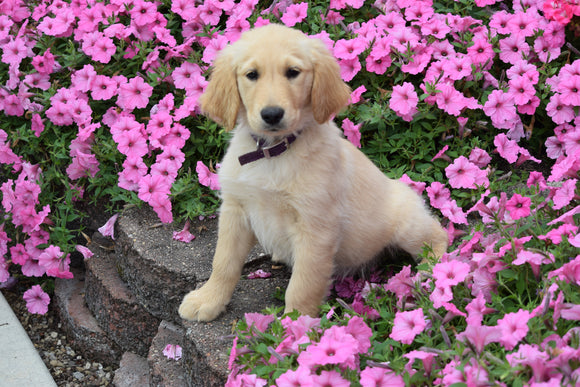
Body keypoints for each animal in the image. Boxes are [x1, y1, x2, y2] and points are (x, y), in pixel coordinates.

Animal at [179, 23, 446, 322]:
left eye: (293, 72)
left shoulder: (316, 227)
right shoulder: (235, 211)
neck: (273, 152)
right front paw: (208, 299)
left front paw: (296, 326)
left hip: (408, 225)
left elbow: (303, 284)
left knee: (439, 236)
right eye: (252, 75)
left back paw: (433, 272)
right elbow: (223, 262)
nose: (272, 114)